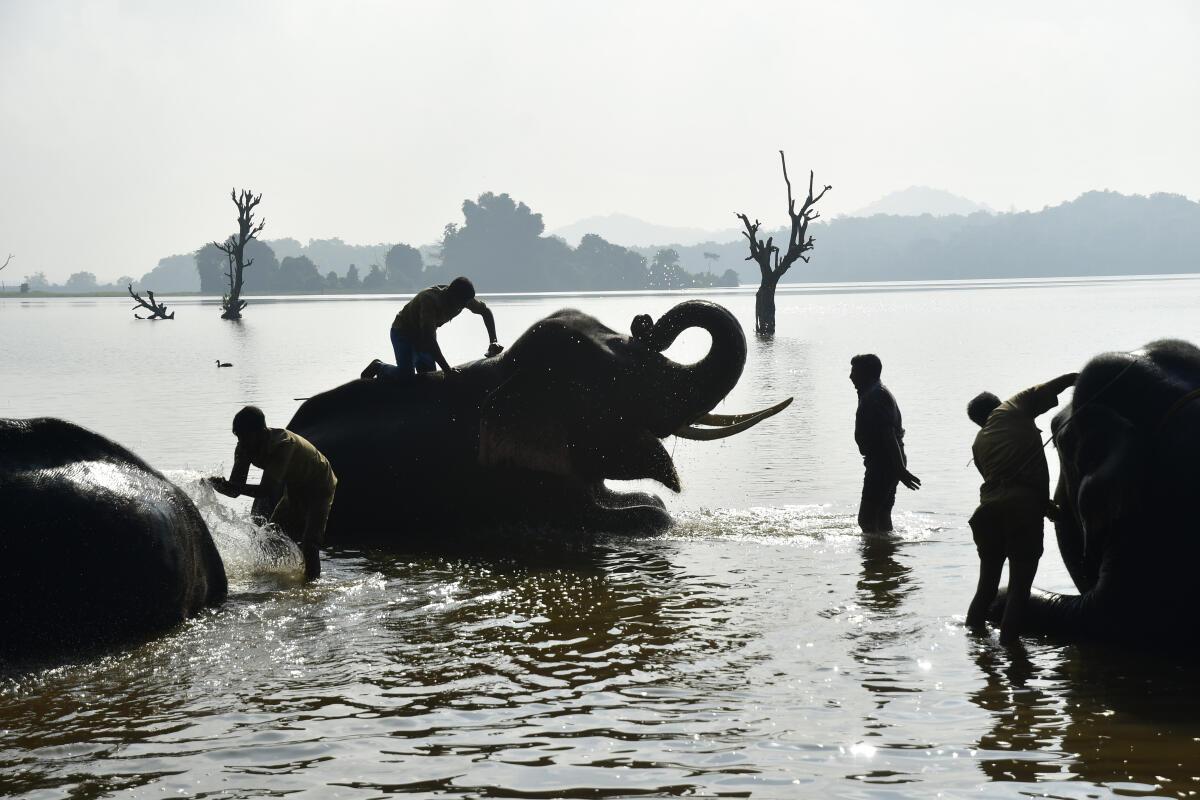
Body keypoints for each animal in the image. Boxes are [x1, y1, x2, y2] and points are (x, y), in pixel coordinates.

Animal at [271, 300, 789, 541]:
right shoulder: (511, 481)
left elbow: (644, 502)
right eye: (615, 380)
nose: (648, 322)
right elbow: (642, 515)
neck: (505, 376)